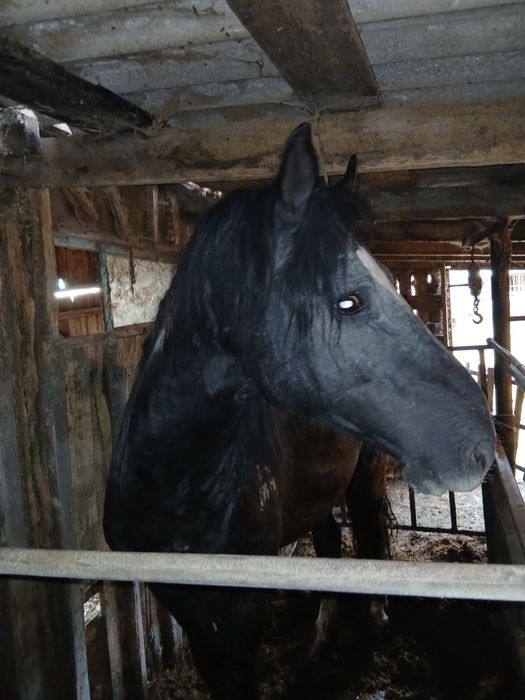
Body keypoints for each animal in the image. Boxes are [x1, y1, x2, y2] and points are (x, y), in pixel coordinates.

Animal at [103, 123, 495, 699]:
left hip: (363, 481)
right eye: (348, 301)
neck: (175, 486)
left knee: (369, 539)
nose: (481, 444)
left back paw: (372, 622)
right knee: (330, 542)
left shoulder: (244, 610)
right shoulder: (186, 606)